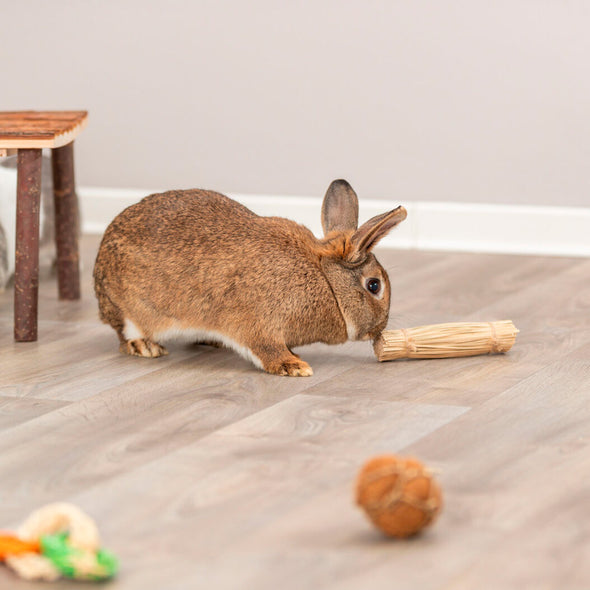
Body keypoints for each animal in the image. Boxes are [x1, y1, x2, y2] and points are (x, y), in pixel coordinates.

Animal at [93, 178, 408, 376]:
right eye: (374, 285)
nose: (378, 330)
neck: (324, 278)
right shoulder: (258, 324)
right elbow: (266, 349)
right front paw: (294, 367)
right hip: (129, 310)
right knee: (125, 334)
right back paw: (145, 346)